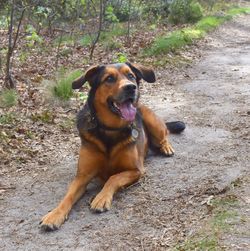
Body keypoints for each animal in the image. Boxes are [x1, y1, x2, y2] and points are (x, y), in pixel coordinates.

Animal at [40, 62, 186, 231]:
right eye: (109, 78)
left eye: (130, 75)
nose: (130, 87)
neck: (110, 129)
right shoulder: (82, 176)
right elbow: (68, 196)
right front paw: (55, 214)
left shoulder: (136, 170)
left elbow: (113, 178)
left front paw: (101, 198)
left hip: (151, 118)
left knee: (164, 134)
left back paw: (166, 147)